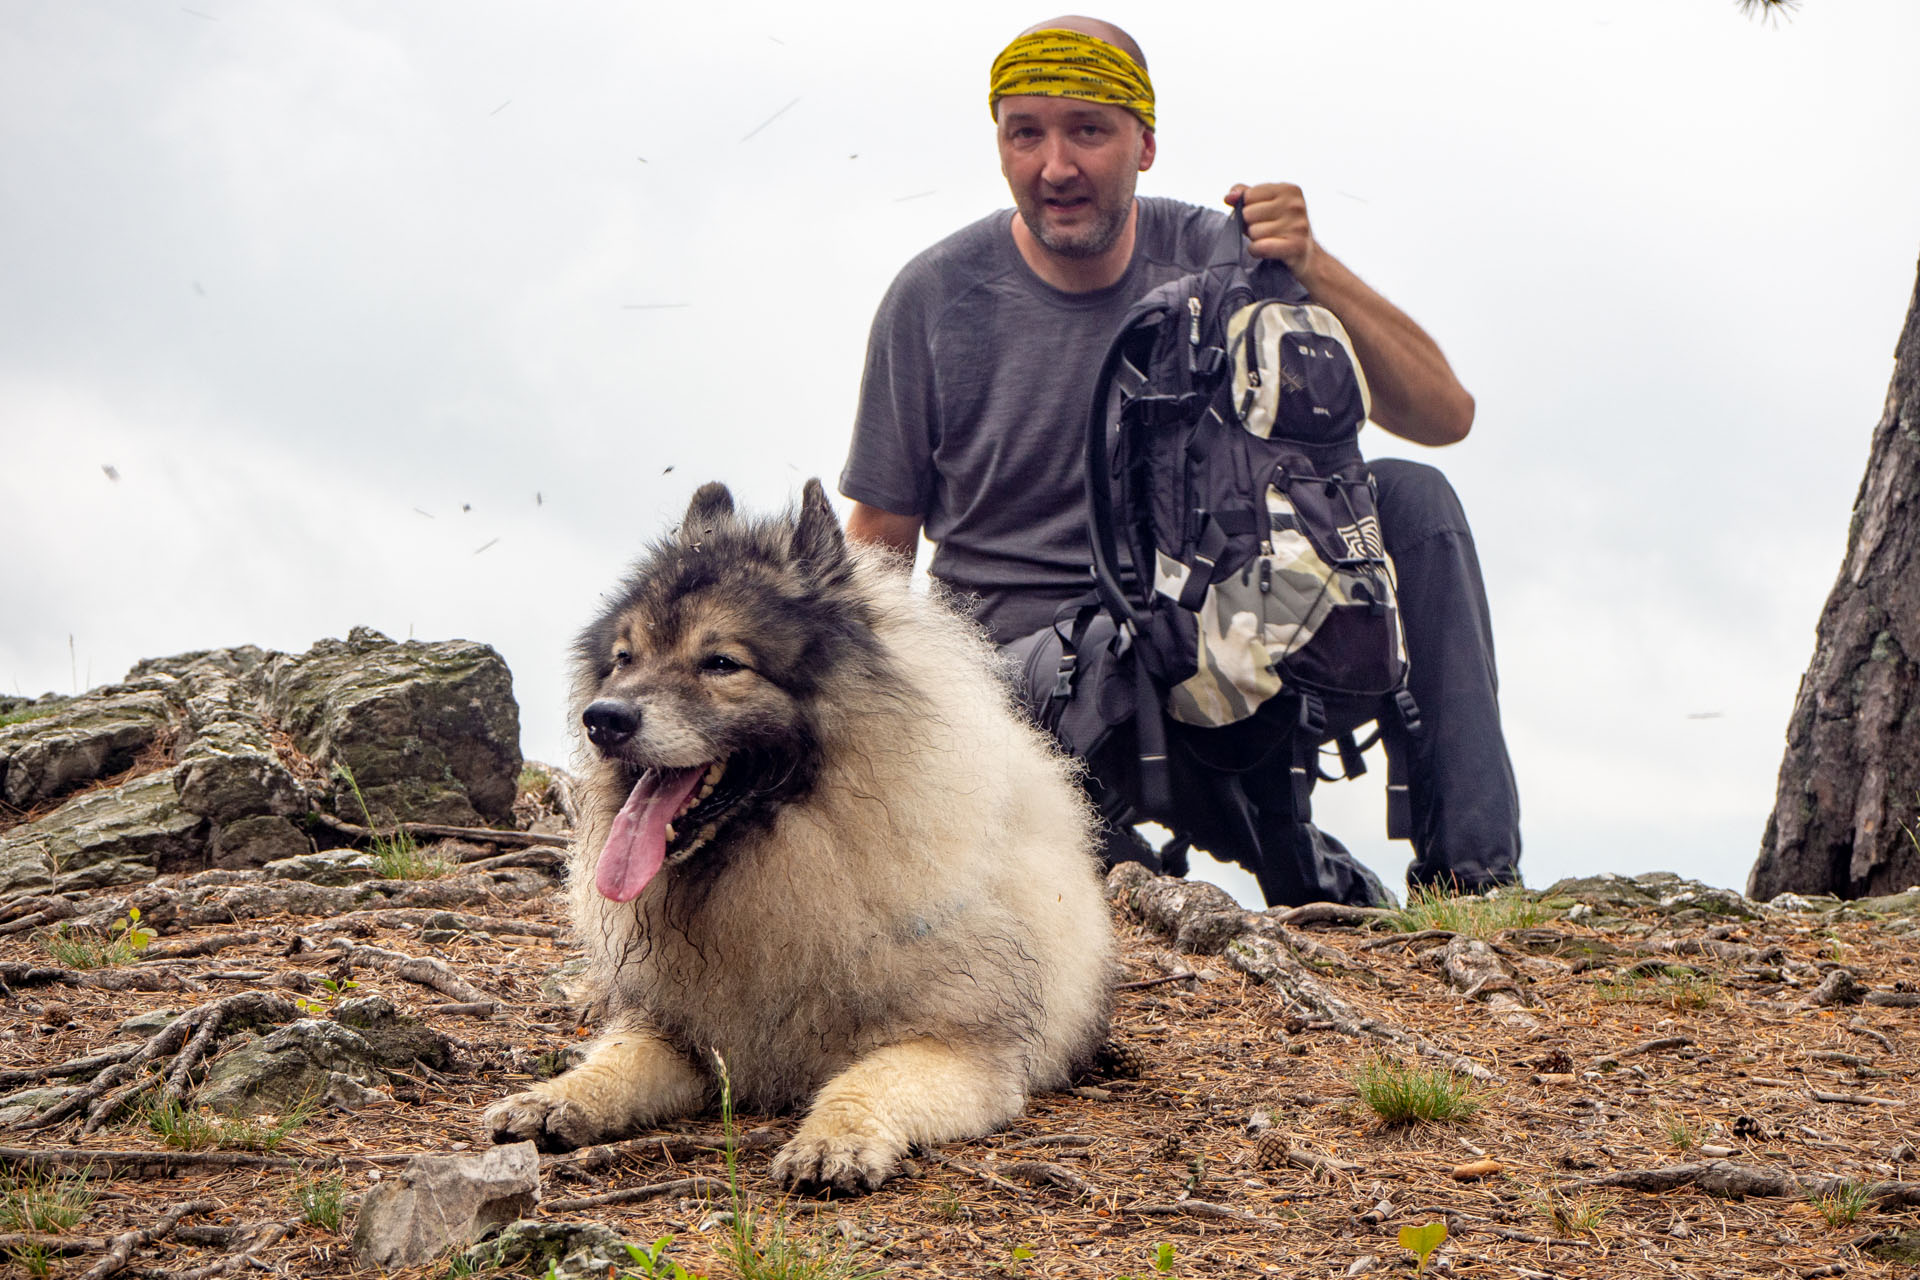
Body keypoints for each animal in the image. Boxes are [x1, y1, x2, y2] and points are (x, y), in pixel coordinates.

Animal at [480, 477, 1121, 1189]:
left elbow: (866, 1081)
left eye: (721, 663)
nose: (603, 718)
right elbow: (614, 1058)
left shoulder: (958, 1049)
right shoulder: (680, 1035)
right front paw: (555, 1097)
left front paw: (831, 1141)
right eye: (625, 659)